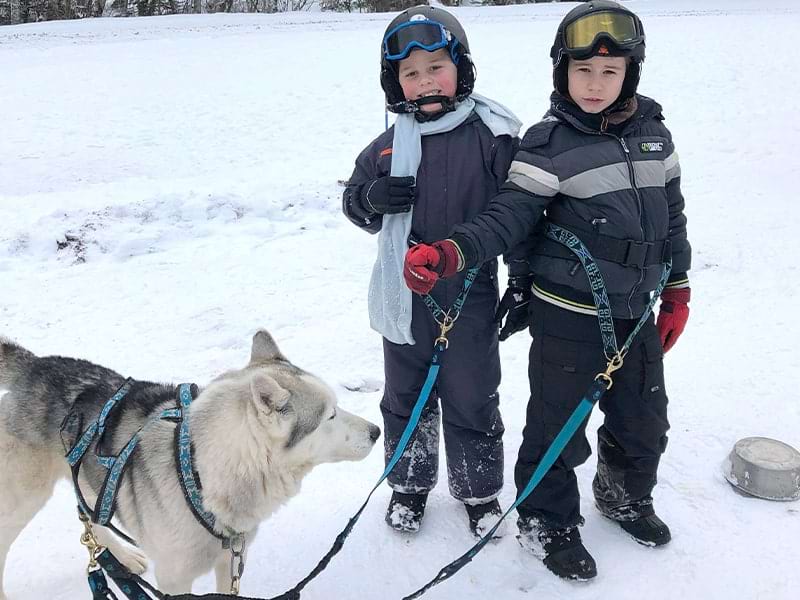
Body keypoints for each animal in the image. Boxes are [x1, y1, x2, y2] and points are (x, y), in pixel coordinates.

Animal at [0, 330, 380, 596]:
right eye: (330, 416)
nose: (376, 431)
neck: (200, 472)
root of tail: (34, 365)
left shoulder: (232, 560)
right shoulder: (174, 580)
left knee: (91, 518)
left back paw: (120, 558)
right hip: (22, 500)